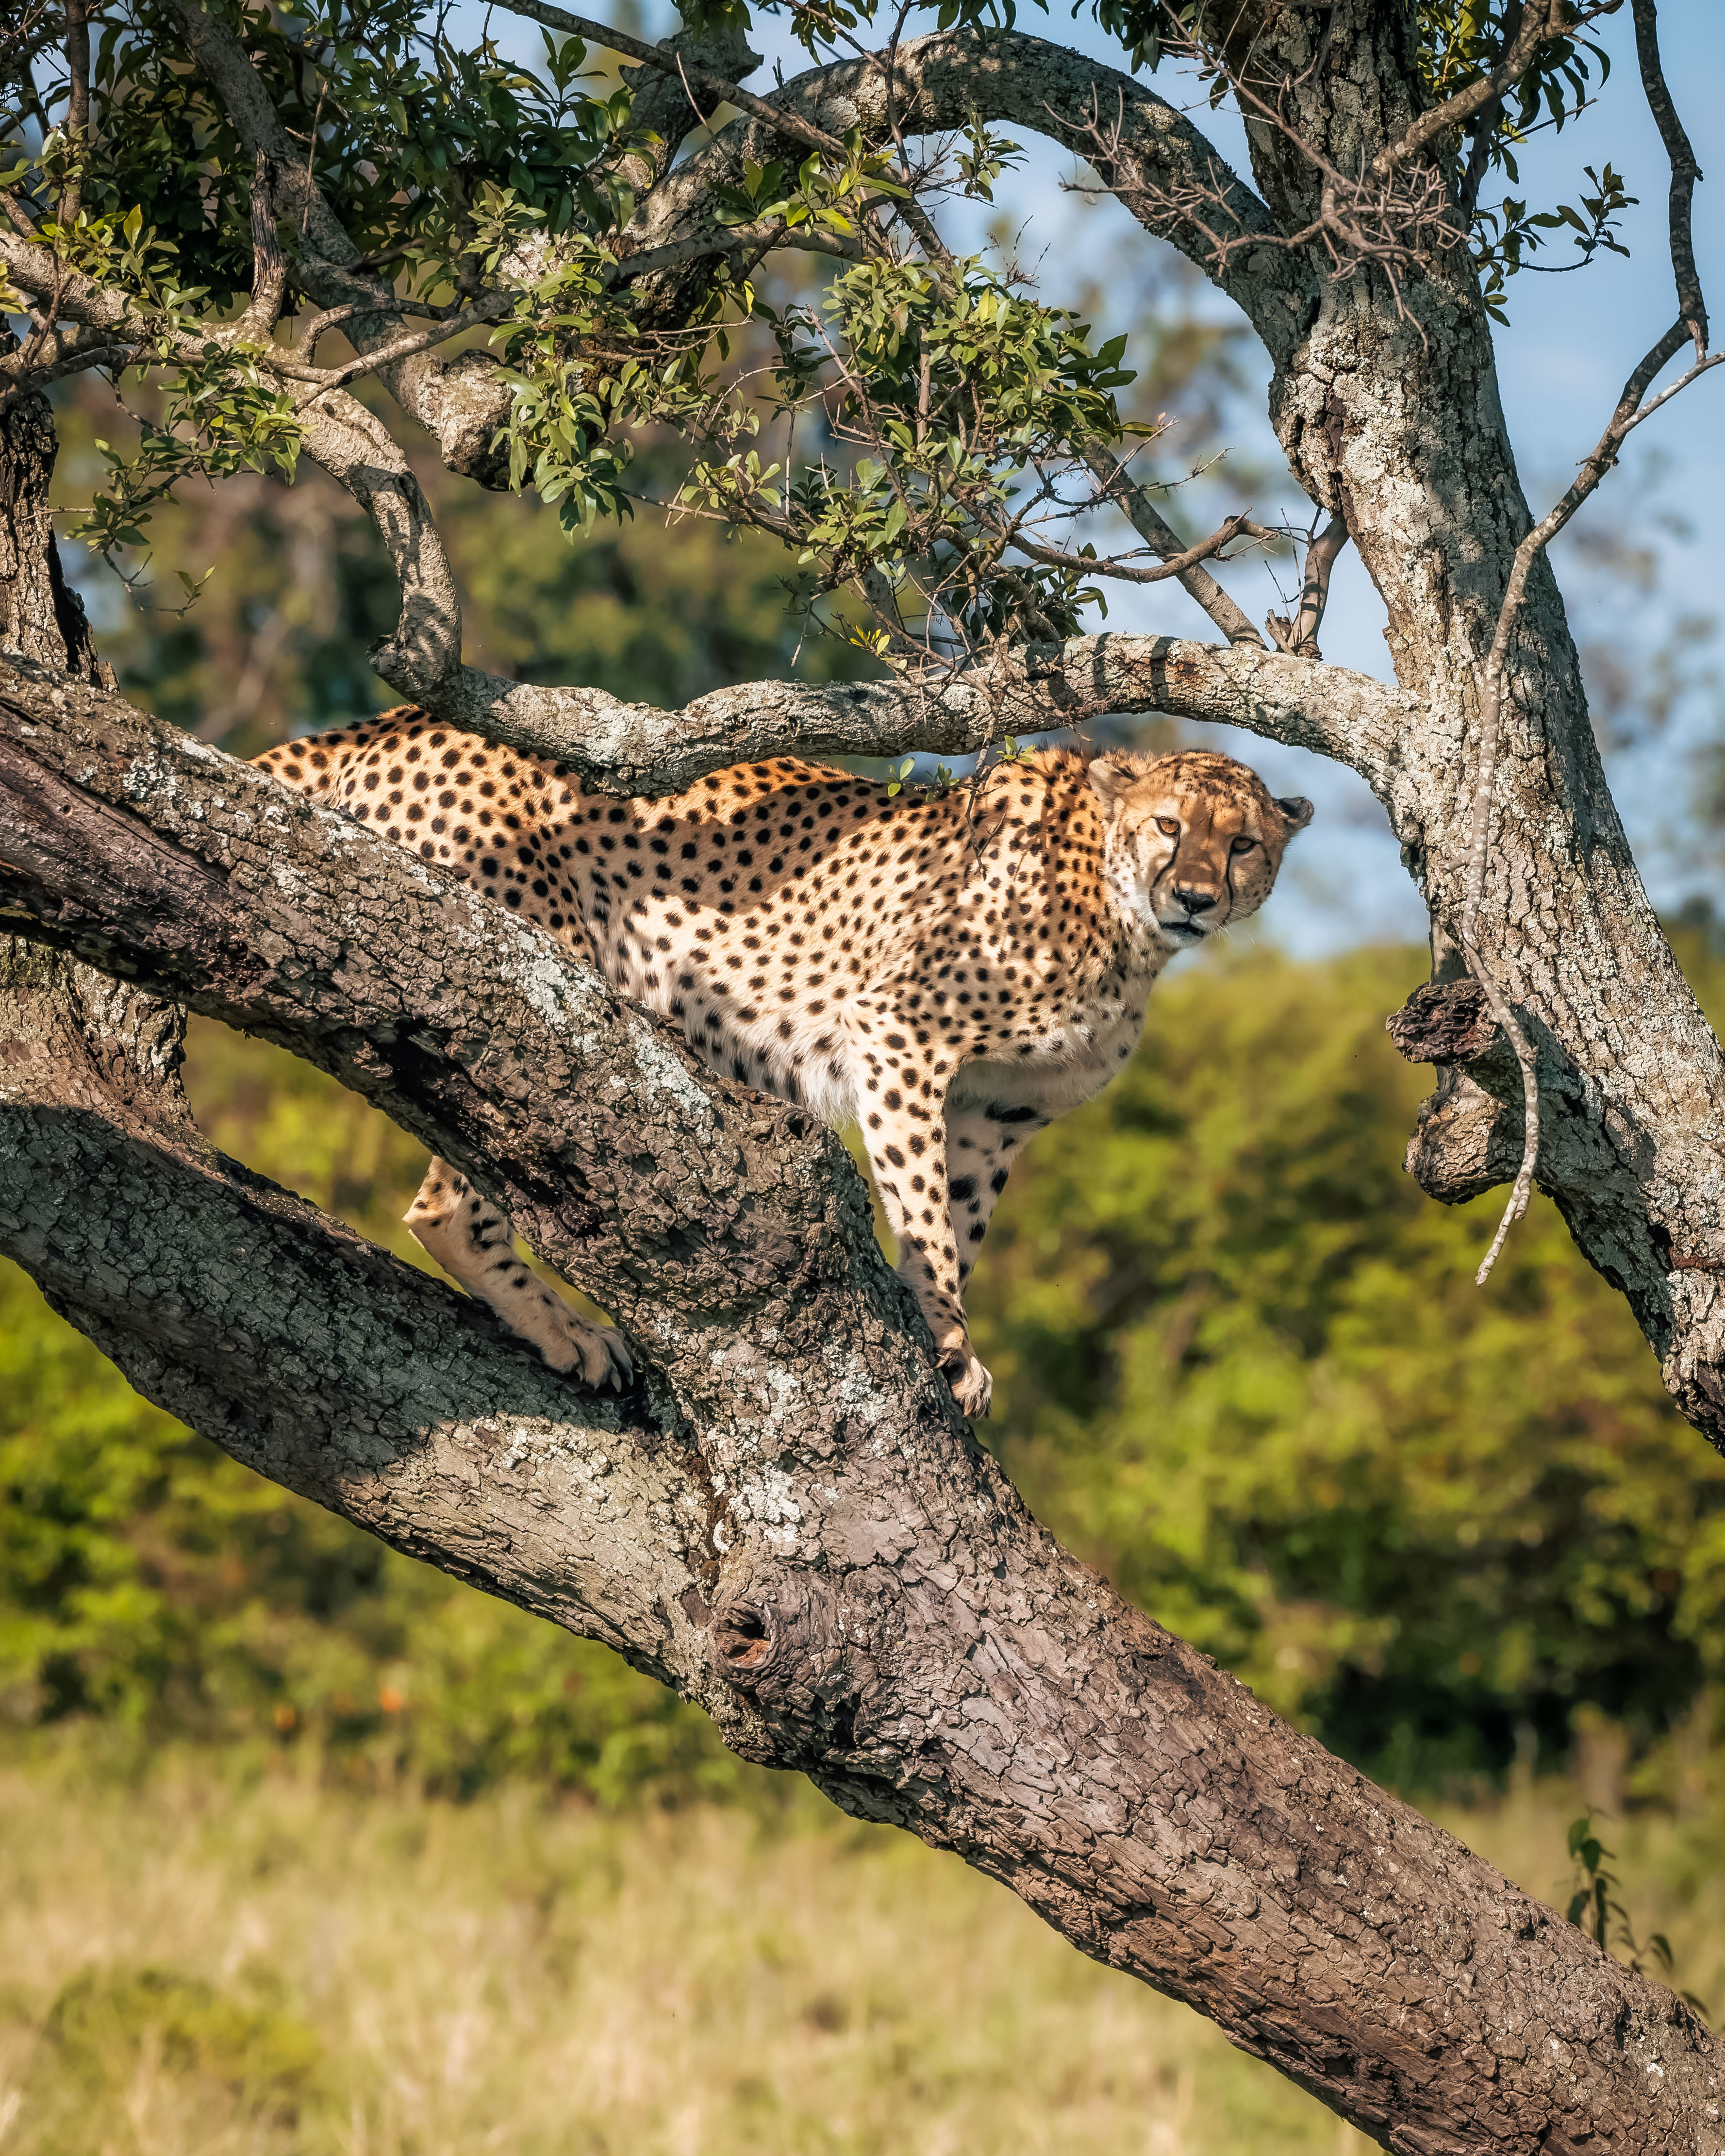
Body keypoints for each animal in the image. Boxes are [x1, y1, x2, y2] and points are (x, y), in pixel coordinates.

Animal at [254, 712, 1312, 1416]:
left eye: (1242, 844)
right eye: (1169, 826)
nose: (1193, 897)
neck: (1120, 918)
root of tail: (400, 714)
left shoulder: (997, 1110)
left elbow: (959, 1216)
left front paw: (940, 1329)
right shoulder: (899, 1032)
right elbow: (926, 1215)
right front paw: (947, 1335)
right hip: (517, 966)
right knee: (447, 1201)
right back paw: (569, 1332)